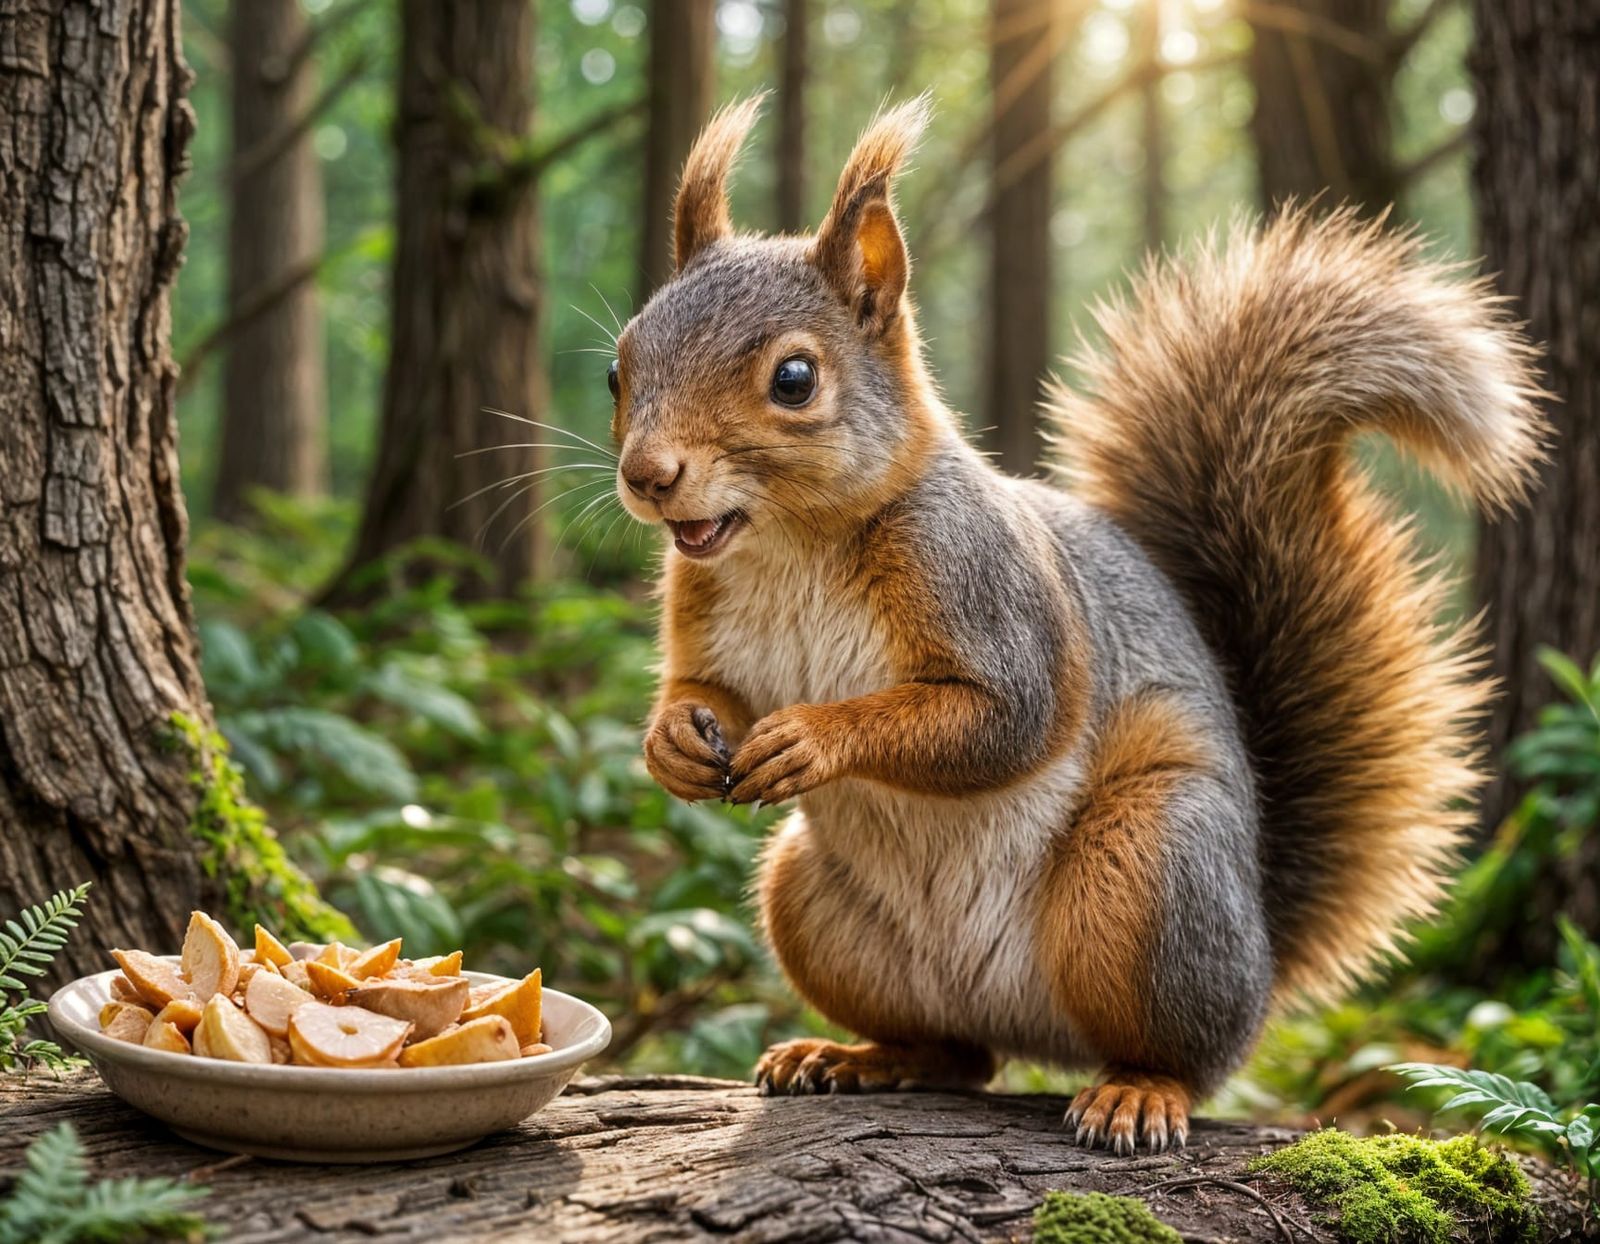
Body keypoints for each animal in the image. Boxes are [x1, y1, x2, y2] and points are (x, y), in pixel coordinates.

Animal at [606, 96, 1548, 1153]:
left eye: (795, 379)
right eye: (617, 371)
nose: (648, 476)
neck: (789, 545)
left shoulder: (990, 593)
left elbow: (1005, 719)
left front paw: (813, 736)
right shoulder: (703, 610)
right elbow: (705, 689)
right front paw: (674, 744)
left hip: (1146, 870)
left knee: (1185, 1054)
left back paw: (1139, 1090)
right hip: (811, 903)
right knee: (957, 1055)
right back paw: (857, 1056)